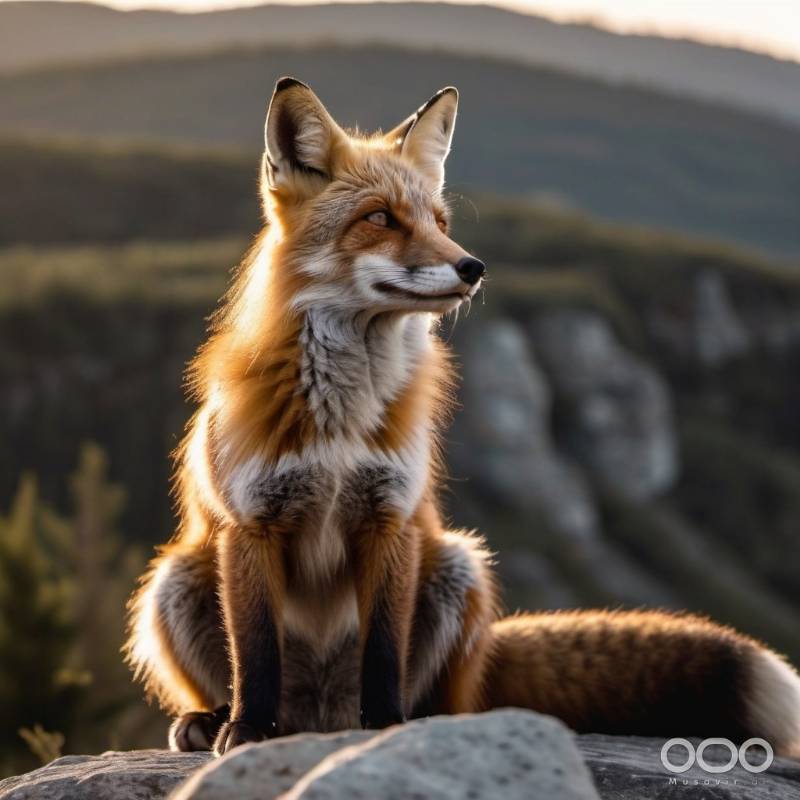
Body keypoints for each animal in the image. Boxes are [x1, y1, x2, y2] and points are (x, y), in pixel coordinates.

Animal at [126, 77, 800, 758]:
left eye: (441, 223)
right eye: (379, 218)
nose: (473, 267)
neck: (342, 423)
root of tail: (321, 718)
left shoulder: (391, 519)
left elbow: (384, 652)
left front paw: (387, 728)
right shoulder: (251, 524)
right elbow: (256, 652)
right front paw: (246, 730)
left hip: (457, 566)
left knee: (447, 697)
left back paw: (421, 719)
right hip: (173, 578)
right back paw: (211, 718)